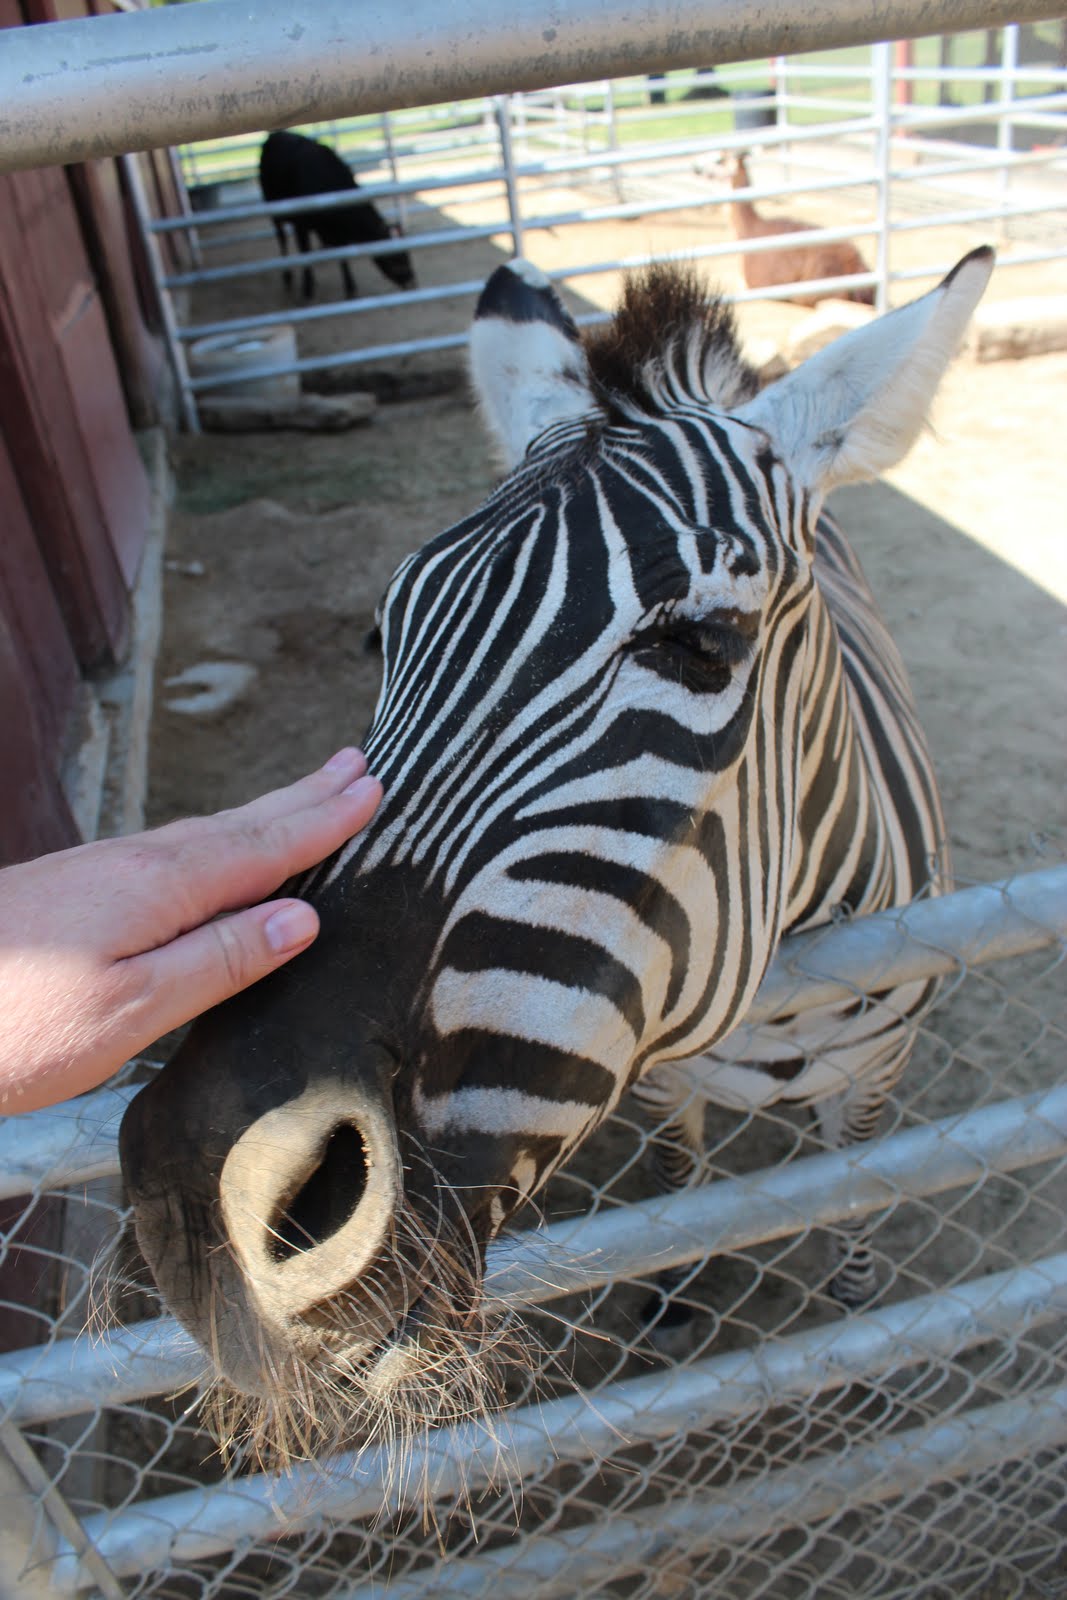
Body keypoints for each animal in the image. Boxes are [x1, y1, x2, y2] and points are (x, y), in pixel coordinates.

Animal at [119, 246, 993, 1460]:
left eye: (703, 644)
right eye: (381, 635)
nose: (202, 1198)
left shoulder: (875, 1078)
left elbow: (860, 1197)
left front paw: (865, 1319)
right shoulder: (662, 1074)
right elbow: (679, 1178)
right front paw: (676, 1287)